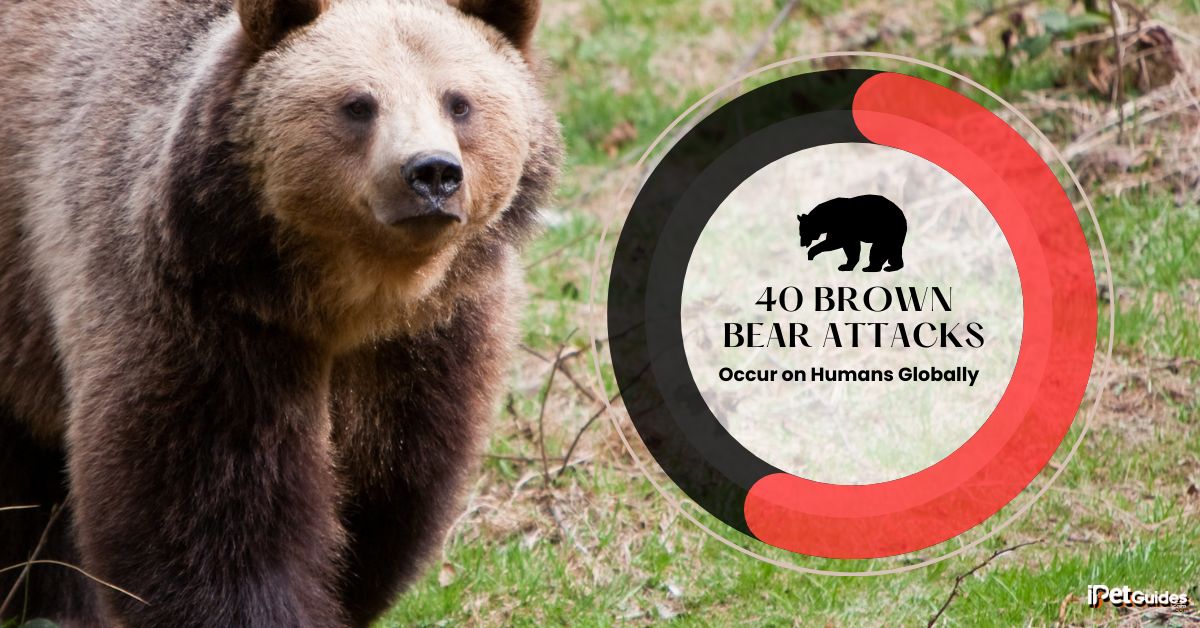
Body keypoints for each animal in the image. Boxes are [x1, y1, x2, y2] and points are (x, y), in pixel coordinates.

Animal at [0, 0, 561, 626]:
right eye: (358, 103)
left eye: (458, 101)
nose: (432, 173)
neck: (353, 298)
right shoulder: (202, 311)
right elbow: (207, 505)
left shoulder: (429, 340)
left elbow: (389, 485)